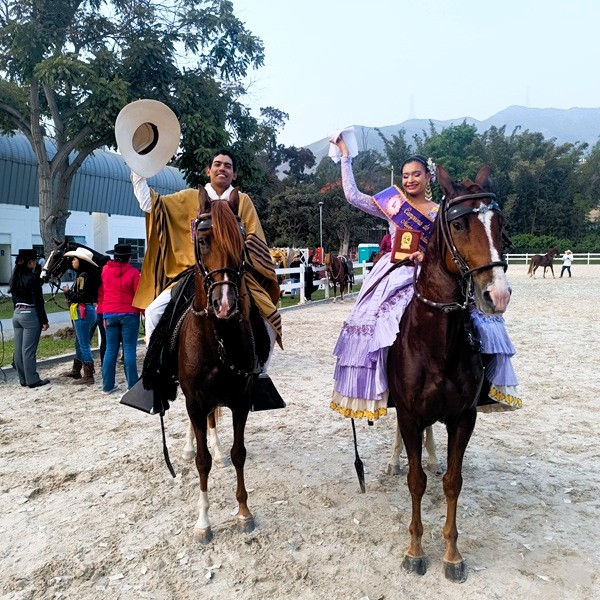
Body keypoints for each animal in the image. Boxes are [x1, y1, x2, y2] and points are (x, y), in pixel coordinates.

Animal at [177, 188, 270, 543]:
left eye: (242, 244)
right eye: (203, 240)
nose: (226, 304)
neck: (217, 340)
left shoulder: (241, 400)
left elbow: (238, 452)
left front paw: (244, 512)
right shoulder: (193, 399)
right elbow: (202, 462)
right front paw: (203, 522)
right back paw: (188, 448)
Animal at [387, 165, 511, 582]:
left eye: (501, 224)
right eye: (459, 225)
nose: (497, 295)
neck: (437, 343)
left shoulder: (464, 418)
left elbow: (452, 483)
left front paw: (452, 554)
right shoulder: (409, 414)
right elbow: (416, 483)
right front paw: (414, 550)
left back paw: (431, 457)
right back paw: (394, 461)